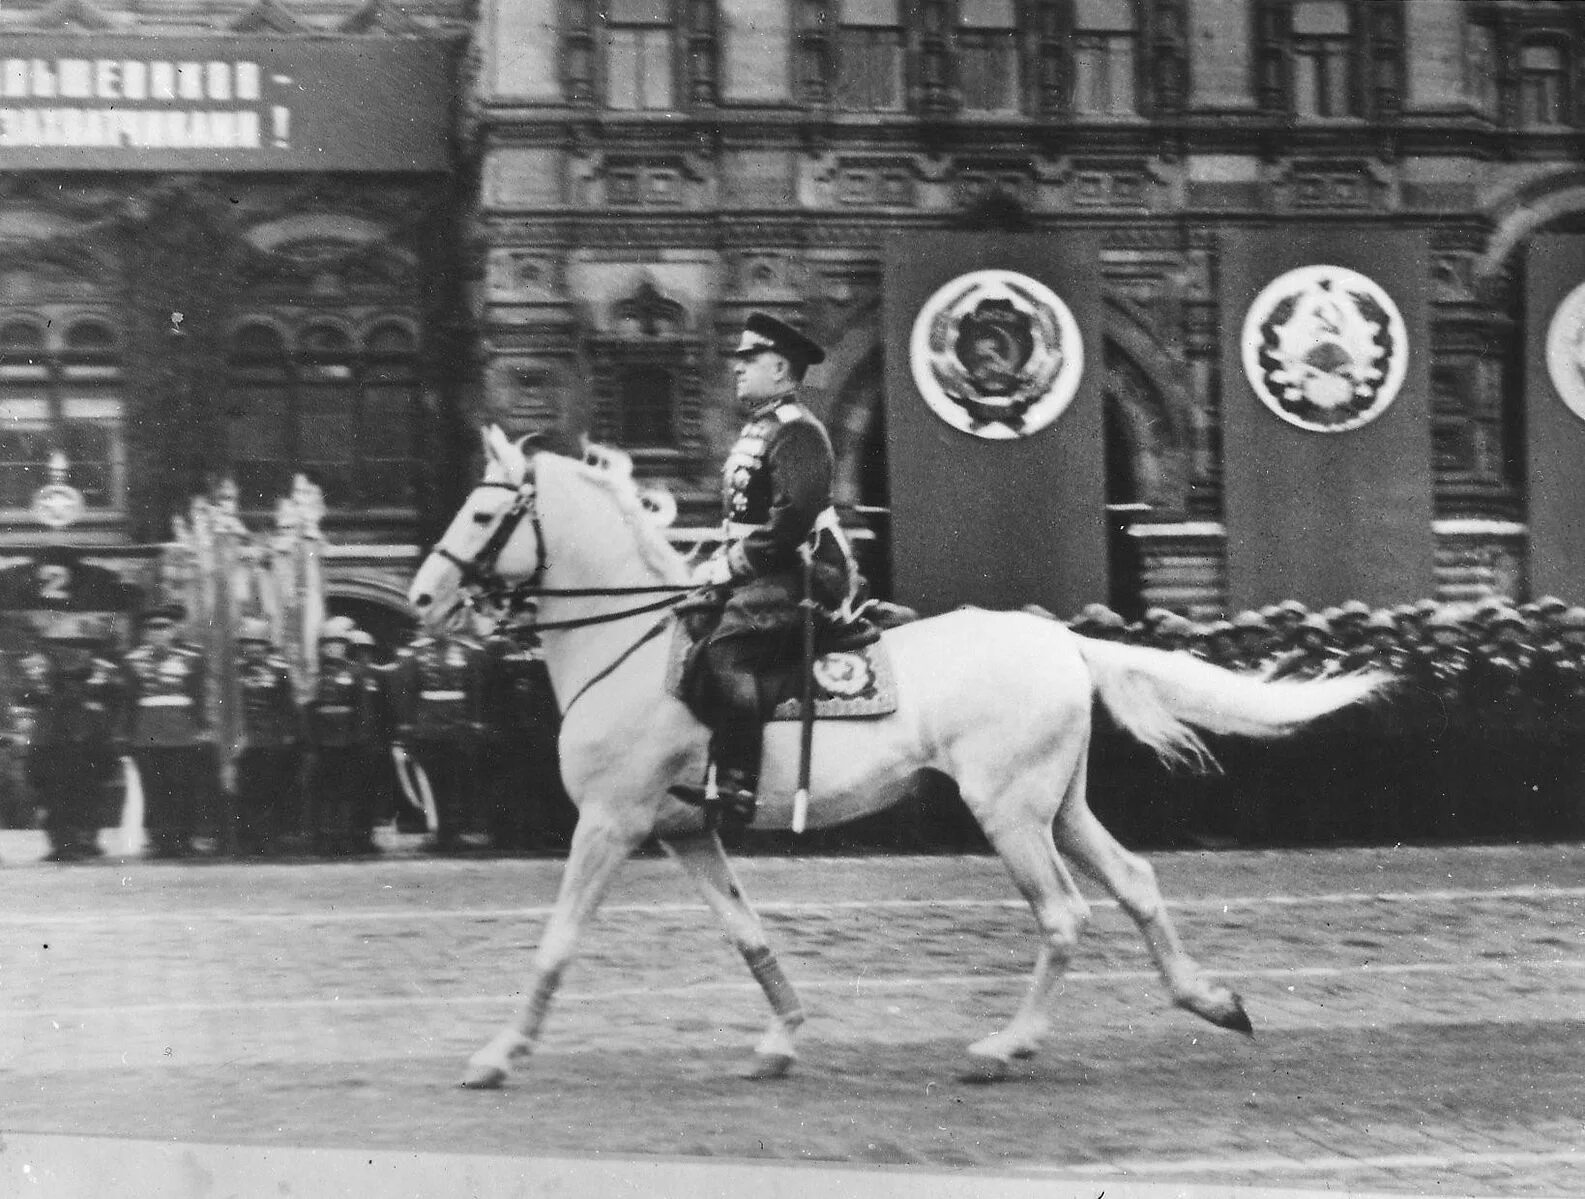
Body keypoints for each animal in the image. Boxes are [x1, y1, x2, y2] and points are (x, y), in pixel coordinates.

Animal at [408, 428, 1388, 1084]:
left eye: (485, 510)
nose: (422, 597)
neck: (631, 645)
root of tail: (1064, 639)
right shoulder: (685, 831)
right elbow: (745, 931)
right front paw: (783, 1035)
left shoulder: (611, 823)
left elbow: (558, 940)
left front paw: (497, 1053)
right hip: (1059, 805)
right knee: (1135, 881)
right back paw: (1208, 1000)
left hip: (1008, 810)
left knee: (1064, 915)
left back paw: (1006, 1045)